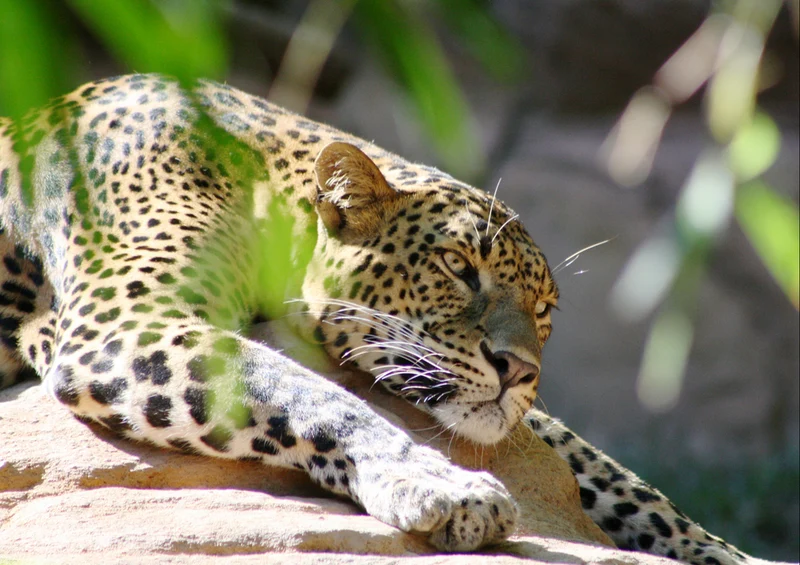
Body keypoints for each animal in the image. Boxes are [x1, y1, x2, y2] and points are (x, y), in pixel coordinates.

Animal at [0, 74, 755, 562]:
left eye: (542, 309)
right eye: (457, 265)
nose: (519, 370)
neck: (258, 185)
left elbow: (620, 479)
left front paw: (725, 553)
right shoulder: (123, 321)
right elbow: (305, 391)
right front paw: (442, 486)